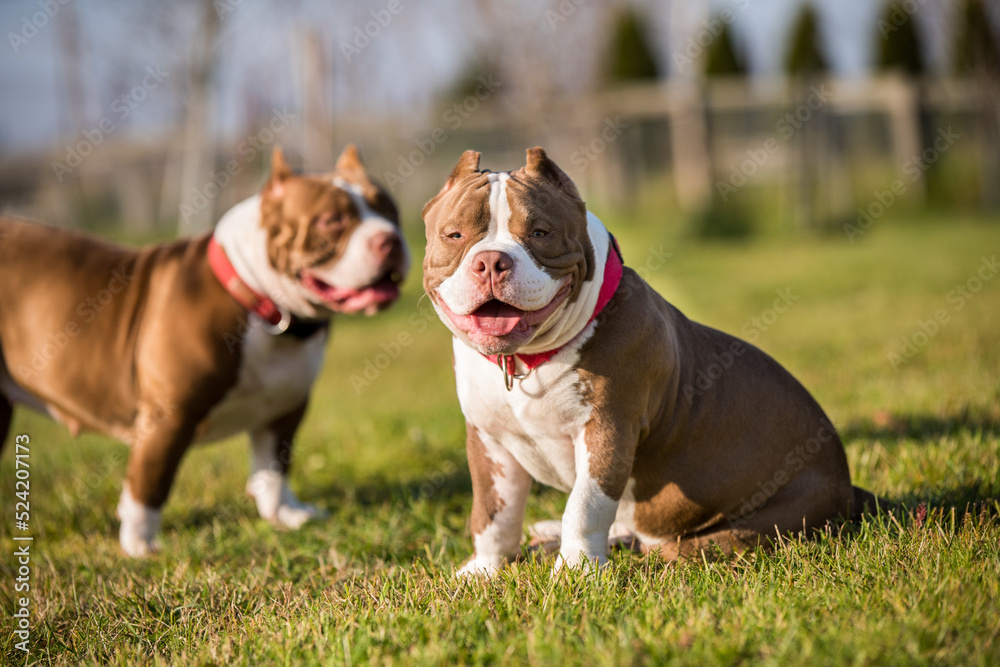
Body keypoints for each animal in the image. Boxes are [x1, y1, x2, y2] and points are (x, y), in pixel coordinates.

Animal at [0, 146, 408, 560]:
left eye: (391, 210)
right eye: (332, 220)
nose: (390, 240)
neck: (261, 303)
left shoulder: (286, 408)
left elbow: (275, 466)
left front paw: (285, 513)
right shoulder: (168, 418)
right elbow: (151, 479)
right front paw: (141, 542)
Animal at [420, 149, 876, 576]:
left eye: (540, 232)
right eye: (454, 234)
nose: (491, 261)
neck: (527, 360)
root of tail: (848, 486)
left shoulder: (607, 430)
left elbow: (584, 507)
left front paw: (576, 570)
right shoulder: (490, 442)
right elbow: (493, 514)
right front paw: (483, 570)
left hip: (762, 521)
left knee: (669, 547)